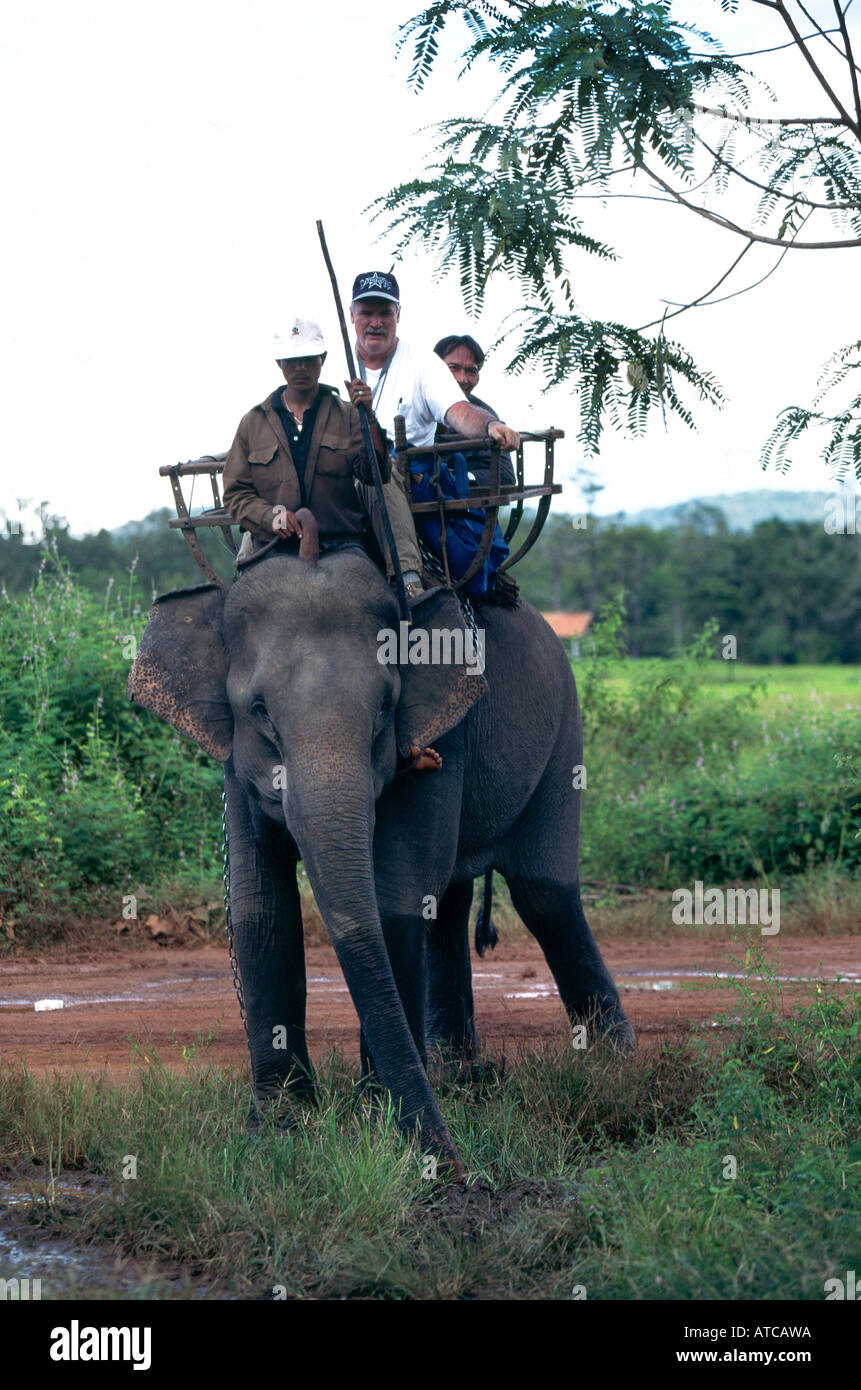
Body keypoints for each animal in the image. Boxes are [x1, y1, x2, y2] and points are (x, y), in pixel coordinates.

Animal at [127, 534, 634, 1175]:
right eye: (259, 709)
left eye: (387, 706)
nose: (453, 1166)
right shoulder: (235, 766)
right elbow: (261, 906)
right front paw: (279, 1129)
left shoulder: (443, 732)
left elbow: (395, 892)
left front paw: (379, 1121)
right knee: (449, 902)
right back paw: (457, 1077)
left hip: (565, 732)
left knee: (543, 896)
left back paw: (614, 1067)